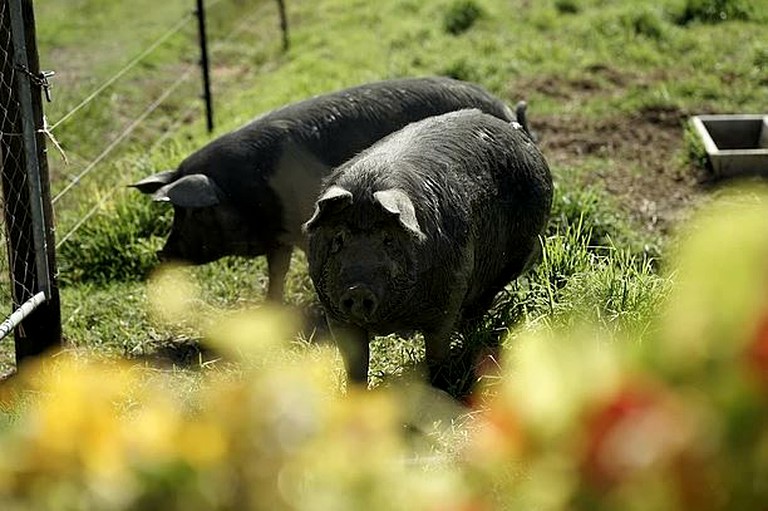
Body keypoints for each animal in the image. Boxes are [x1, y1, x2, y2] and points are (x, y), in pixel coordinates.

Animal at [132, 75, 528, 300]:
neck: (244, 193)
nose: (162, 254)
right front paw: (270, 308)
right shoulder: (278, 237)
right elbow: (276, 272)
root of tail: (505, 110)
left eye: (191, 214)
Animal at [304, 110, 552, 394]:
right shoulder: (335, 315)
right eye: (339, 239)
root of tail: (515, 130)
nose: (358, 289)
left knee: (481, 303)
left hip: (517, 256)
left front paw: (440, 388)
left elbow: (436, 352)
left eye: (388, 240)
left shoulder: (447, 300)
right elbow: (355, 364)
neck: (391, 320)